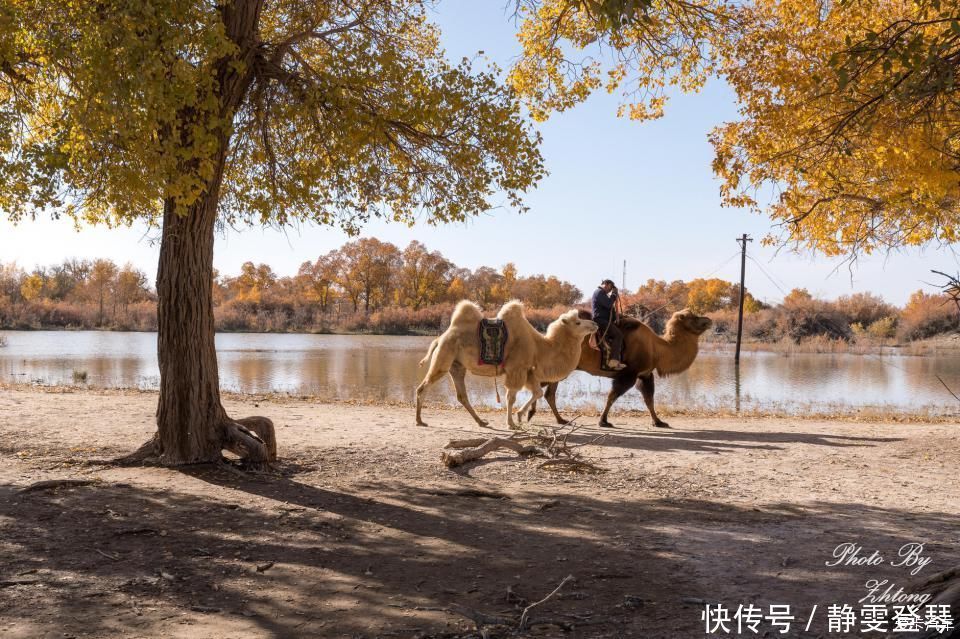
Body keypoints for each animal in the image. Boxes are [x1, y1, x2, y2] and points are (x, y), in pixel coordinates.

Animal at [528, 308, 708, 428]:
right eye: (693, 317)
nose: (709, 320)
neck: (656, 349)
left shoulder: (645, 374)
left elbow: (649, 399)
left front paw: (658, 422)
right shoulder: (628, 374)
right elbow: (612, 396)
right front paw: (603, 421)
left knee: (548, 392)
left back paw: (559, 419)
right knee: (543, 387)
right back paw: (538, 415)